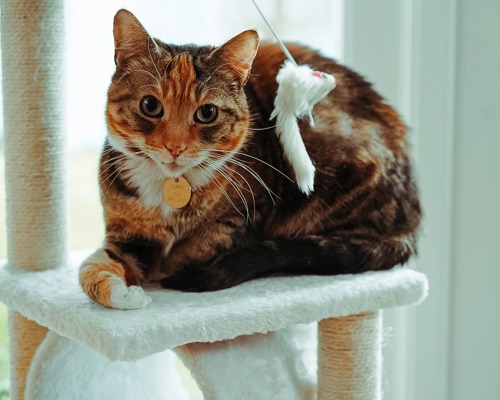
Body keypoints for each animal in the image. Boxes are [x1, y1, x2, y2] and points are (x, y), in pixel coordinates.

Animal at [79, 9, 422, 310]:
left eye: (207, 112)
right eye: (150, 105)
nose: (175, 147)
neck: (170, 191)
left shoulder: (247, 214)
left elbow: (190, 252)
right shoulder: (125, 237)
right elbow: (91, 268)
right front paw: (126, 295)